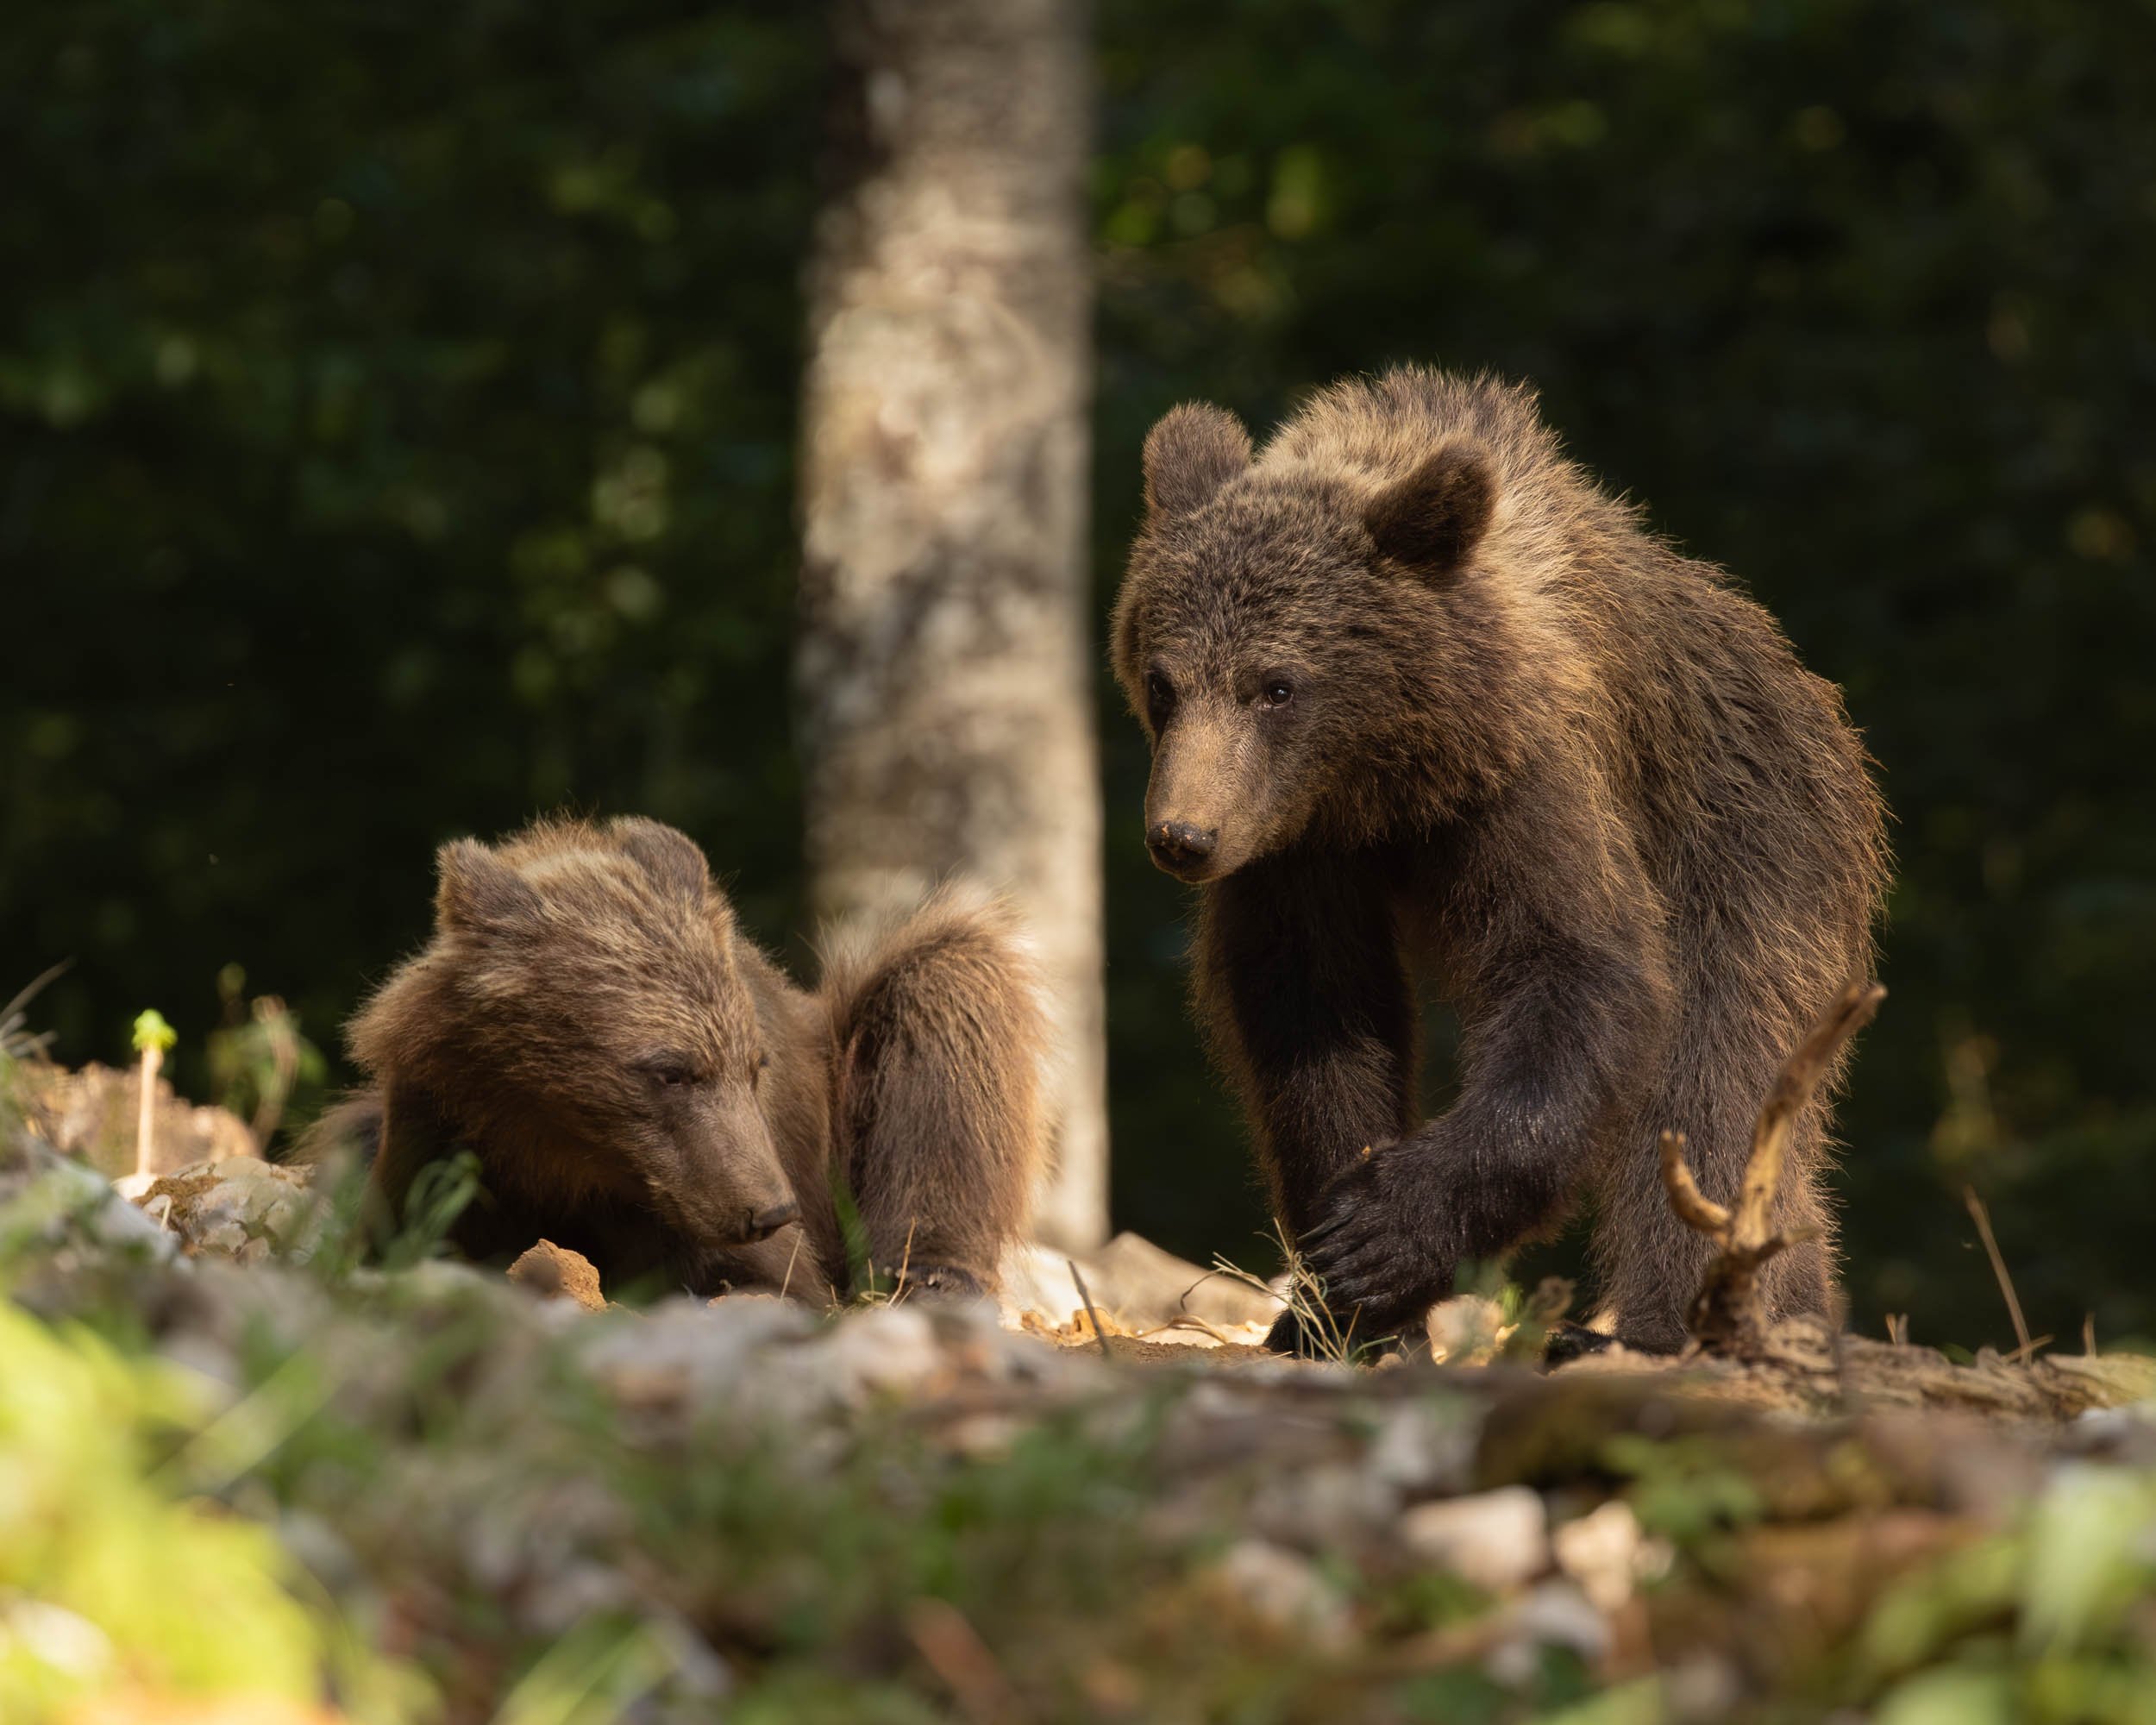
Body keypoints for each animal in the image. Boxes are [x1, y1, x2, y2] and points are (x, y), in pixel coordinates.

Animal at [302, 815, 1047, 1301]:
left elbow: (770, 1282)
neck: (559, 1154)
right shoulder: (444, 1135)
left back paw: (931, 1275)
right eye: (670, 1070)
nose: (770, 1210)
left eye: (755, 1064)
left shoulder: (698, 1191)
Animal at [1112, 367, 1890, 1355]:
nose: (1184, 835)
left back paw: (1688, 1321)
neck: (1392, 776)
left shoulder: (1531, 784)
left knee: (1722, 1071)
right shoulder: (1294, 844)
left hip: (1752, 841)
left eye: (1275, 685)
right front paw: (1340, 1300)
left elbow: (1571, 970)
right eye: (1164, 680)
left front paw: (1383, 1235)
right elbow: (1309, 1010)